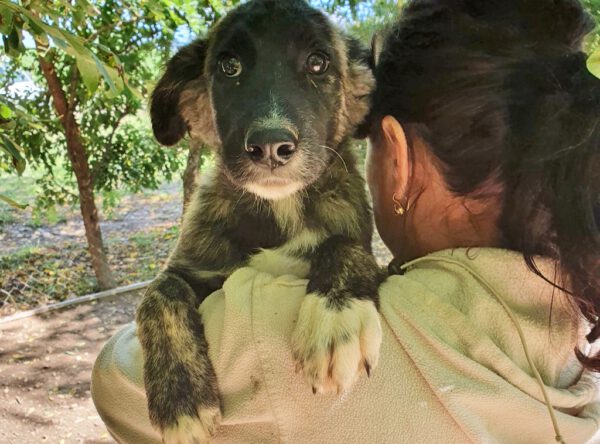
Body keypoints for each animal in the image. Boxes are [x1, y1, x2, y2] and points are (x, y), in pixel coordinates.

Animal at [138, 0, 382, 440]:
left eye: (318, 62)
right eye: (228, 66)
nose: (270, 146)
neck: (279, 207)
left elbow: (344, 244)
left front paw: (335, 317)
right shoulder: (192, 267)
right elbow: (157, 295)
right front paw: (180, 400)